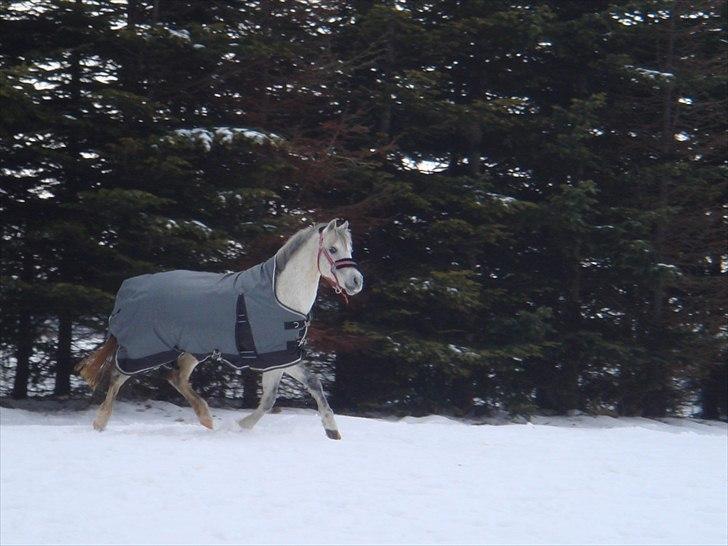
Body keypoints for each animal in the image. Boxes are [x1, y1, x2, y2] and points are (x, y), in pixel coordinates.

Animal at [75, 217, 364, 438]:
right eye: (333, 249)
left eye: (349, 249)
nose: (356, 281)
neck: (280, 297)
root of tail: (126, 290)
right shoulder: (275, 357)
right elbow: (281, 396)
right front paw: (240, 425)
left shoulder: (280, 357)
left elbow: (289, 392)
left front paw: (332, 431)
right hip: (143, 348)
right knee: (117, 376)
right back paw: (100, 423)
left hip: (191, 349)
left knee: (176, 378)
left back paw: (206, 418)